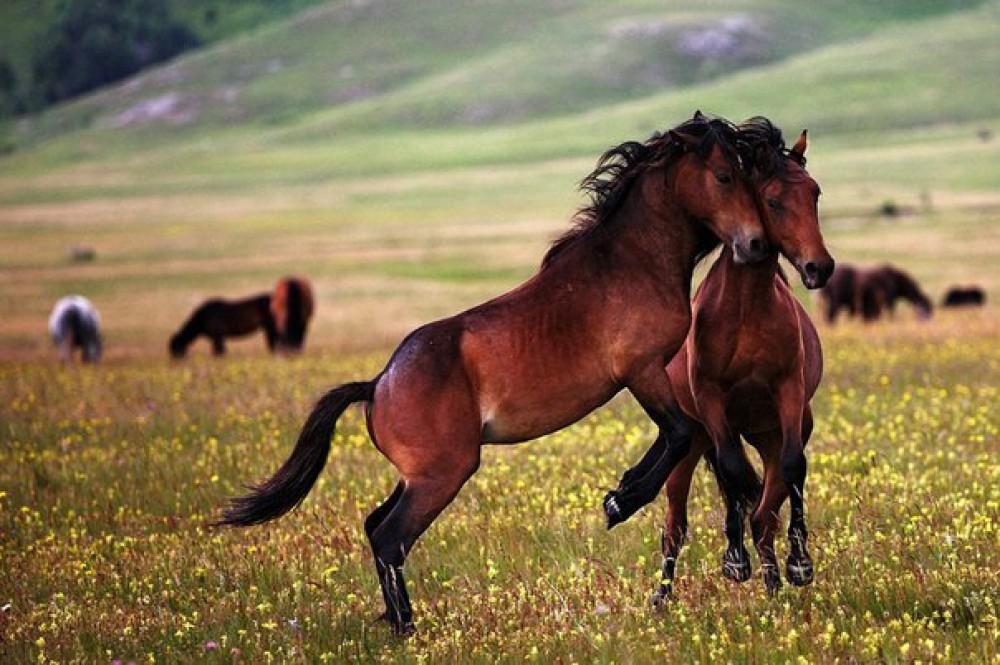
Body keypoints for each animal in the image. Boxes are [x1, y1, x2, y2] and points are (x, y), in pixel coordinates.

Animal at [217, 113, 772, 632]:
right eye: (724, 175)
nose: (756, 244)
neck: (632, 261)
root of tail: (377, 385)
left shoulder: (649, 376)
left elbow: (678, 435)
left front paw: (622, 491)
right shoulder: (641, 370)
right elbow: (676, 434)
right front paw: (621, 502)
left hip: (418, 475)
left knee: (375, 527)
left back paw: (398, 622)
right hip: (442, 473)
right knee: (392, 538)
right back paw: (408, 630)